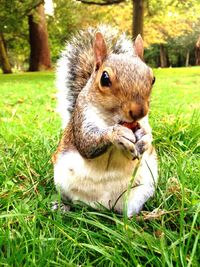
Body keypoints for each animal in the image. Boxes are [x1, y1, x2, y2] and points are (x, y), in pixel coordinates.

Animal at [52, 25, 158, 218]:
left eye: (152, 78)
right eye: (105, 78)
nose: (139, 111)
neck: (113, 118)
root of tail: (103, 206)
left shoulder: (143, 122)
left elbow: (147, 135)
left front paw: (145, 139)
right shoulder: (82, 117)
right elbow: (87, 143)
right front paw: (117, 134)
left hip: (141, 190)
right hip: (61, 180)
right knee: (68, 200)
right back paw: (62, 207)